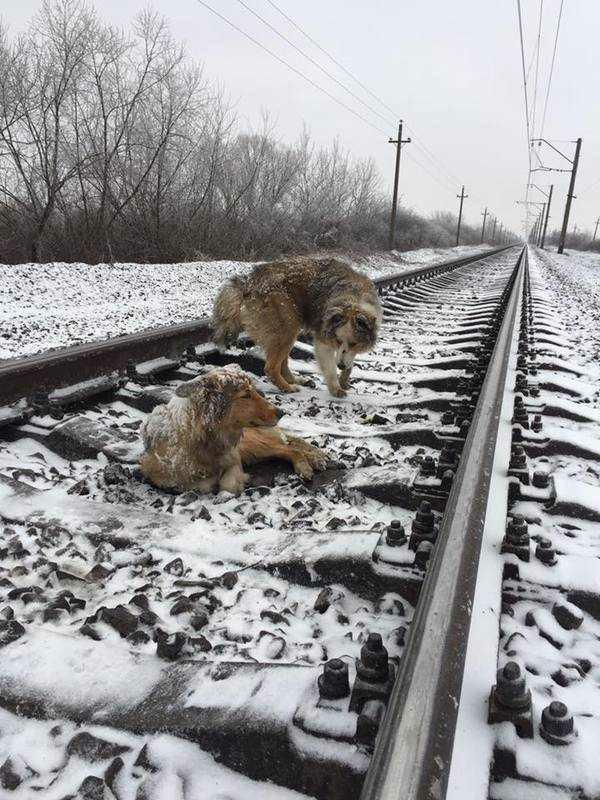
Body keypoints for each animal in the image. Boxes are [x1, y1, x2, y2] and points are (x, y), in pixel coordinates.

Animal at [139, 364, 328, 494]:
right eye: (246, 395)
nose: (282, 412)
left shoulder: (234, 457)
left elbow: (227, 485)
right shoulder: (160, 475)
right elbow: (198, 484)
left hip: (252, 444)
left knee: (290, 448)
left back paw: (307, 465)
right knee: (288, 446)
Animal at [212, 258, 380, 398]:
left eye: (354, 343)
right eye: (338, 341)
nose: (341, 365)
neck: (354, 298)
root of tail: (248, 283)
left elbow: (350, 361)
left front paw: (344, 379)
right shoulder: (323, 339)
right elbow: (330, 368)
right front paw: (335, 387)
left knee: (283, 363)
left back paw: (296, 380)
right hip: (286, 327)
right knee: (271, 368)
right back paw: (287, 387)